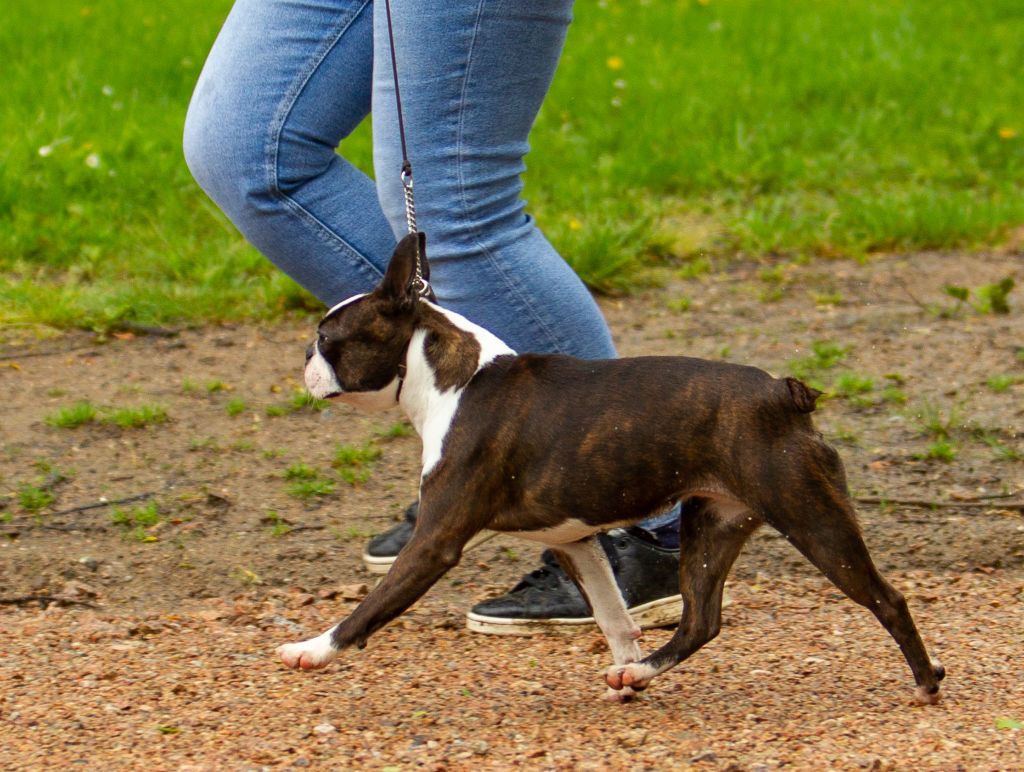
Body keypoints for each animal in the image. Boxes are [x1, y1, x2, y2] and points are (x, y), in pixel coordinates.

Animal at [278, 231, 942, 700]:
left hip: (811, 516)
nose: (304, 355)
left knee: (887, 599)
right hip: (712, 523)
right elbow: (612, 613)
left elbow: (373, 605)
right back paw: (641, 674)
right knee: (701, 620)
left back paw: (926, 681)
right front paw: (626, 666)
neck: (451, 378)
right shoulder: (575, 542)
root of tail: (785, 393)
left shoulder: (435, 542)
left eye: (328, 337)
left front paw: (313, 649)